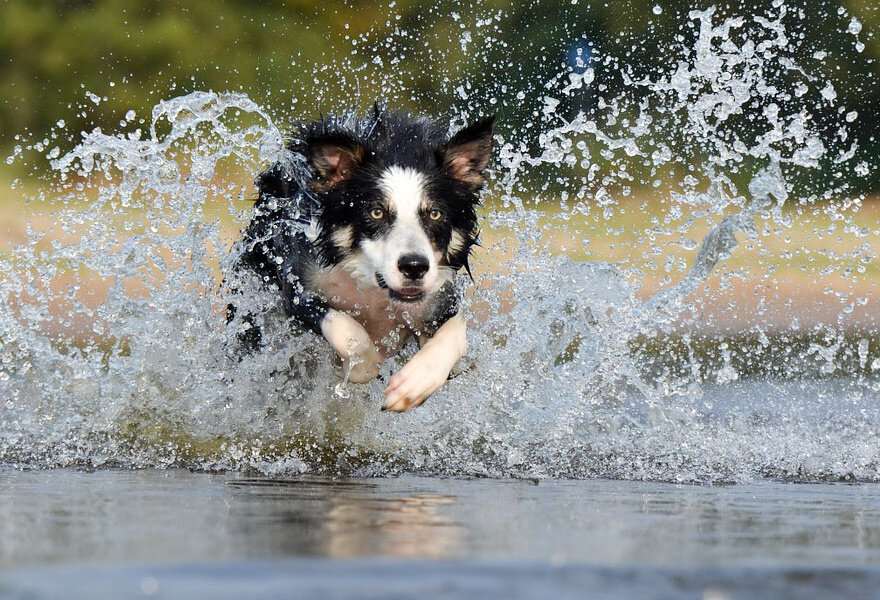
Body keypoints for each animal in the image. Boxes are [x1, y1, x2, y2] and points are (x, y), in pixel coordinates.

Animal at [229, 108, 496, 412]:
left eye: (435, 213)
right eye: (376, 212)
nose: (414, 267)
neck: (373, 290)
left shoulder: (438, 298)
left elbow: (456, 333)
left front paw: (414, 384)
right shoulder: (298, 285)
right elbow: (348, 331)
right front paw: (361, 366)